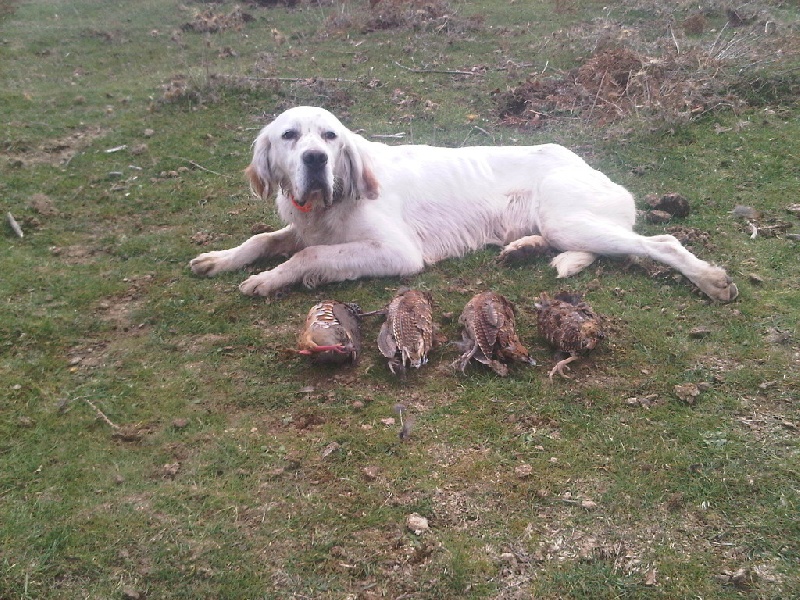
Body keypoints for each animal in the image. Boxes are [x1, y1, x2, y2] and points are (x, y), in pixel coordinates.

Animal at [191, 105, 740, 302]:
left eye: (330, 136)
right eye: (289, 136)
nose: (314, 159)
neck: (329, 203)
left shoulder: (398, 253)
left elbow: (309, 255)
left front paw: (268, 280)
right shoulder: (302, 226)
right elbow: (266, 239)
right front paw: (221, 259)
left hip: (569, 217)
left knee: (659, 241)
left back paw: (711, 281)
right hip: (564, 224)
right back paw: (523, 249)